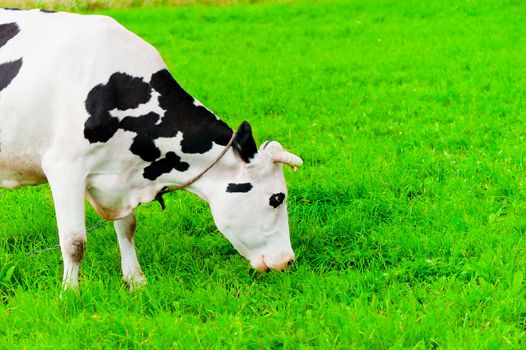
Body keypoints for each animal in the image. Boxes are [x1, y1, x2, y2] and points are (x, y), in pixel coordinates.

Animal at [0, 9, 304, 292]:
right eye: (277, 199)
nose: (288, 261)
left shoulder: (122, 172)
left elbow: (127, 228)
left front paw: (135, 280)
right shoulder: (64, 167)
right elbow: (75, 242)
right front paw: (70, 294)